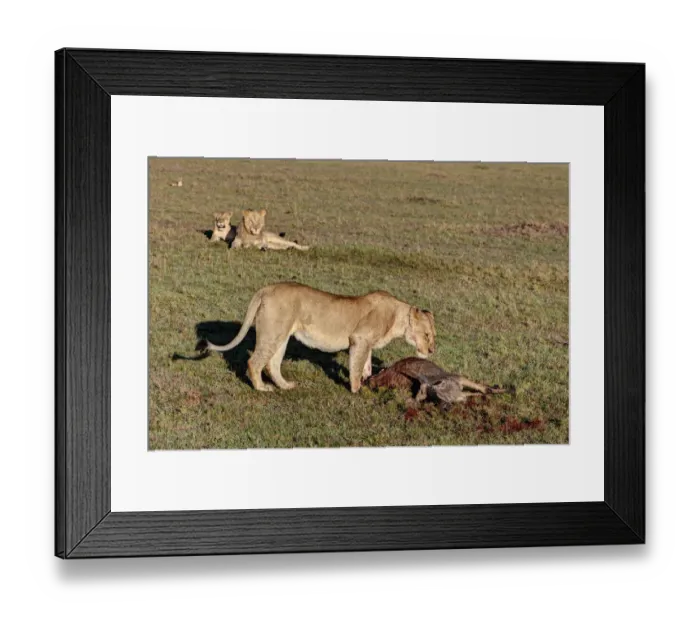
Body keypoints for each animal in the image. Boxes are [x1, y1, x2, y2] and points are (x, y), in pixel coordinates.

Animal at [202, 282, 436, 393]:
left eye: (434, 336)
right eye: (426, 335)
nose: (432, 351)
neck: (398, 317)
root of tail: (267, 288)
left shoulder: (366, 343)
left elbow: (366, 363)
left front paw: (368, 378)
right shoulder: (359, 338)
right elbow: (356, 365)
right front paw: (356, 389)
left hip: (281, 335)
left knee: (272, 365)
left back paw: (285, 386)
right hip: (272, 333)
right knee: (254, 361)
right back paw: (261, 388)